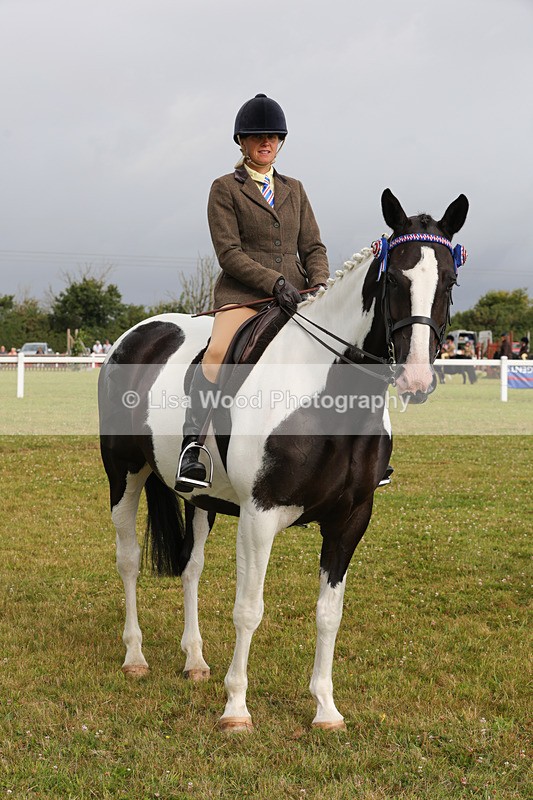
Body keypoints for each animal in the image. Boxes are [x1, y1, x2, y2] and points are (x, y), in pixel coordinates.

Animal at [98, 188, 469, 732]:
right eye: (394, 279)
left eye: (449, 280)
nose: (416, 379)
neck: (327, 395)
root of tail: (137, 335)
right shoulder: (260, 515)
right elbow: (248, 609)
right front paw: (236, 709)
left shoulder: (351, 519)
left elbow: (329, 613)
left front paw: (326, 709)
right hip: (123, 474)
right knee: (128, 560)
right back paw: (135, 657)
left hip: (202, 498)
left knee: (191, 567)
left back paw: (194, 661)